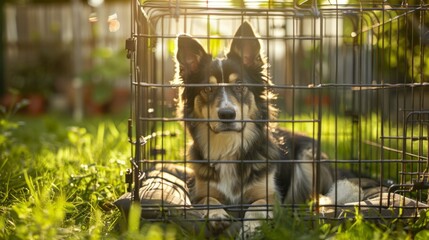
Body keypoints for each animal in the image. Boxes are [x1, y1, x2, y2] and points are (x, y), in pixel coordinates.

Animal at [171, 21, 358, 237]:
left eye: (240, 86)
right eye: (208, 89)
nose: (227, 114)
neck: (229, 145)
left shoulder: (270, 196)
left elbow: (257, 206)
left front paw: (251, 227)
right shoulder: (199, 192)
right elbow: (208, 199)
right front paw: (217, 213)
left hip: (307, 157)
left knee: (315, 194)